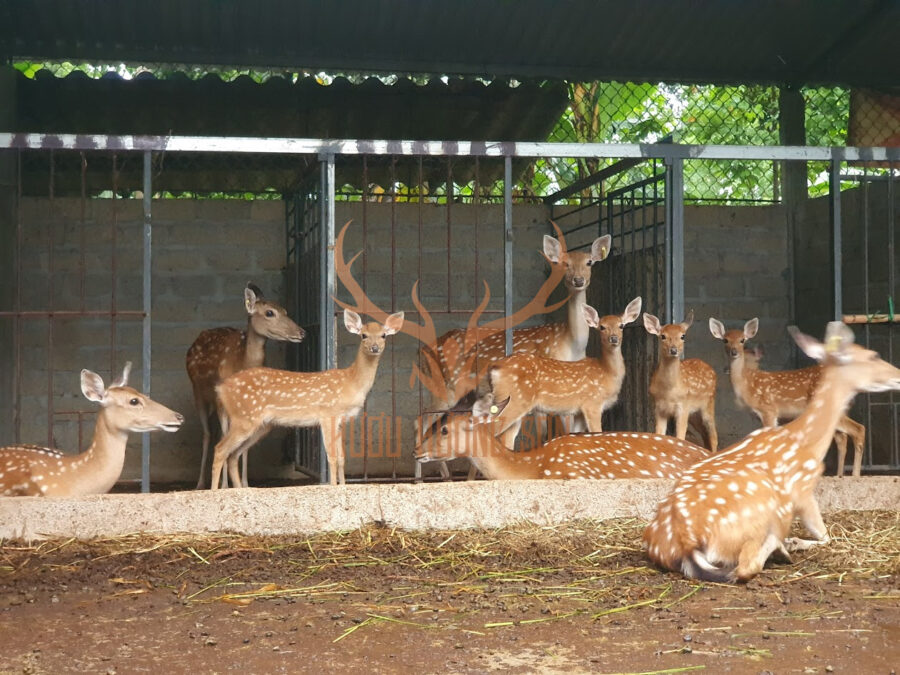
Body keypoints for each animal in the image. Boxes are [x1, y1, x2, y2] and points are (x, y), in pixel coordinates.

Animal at [186, 282, 305, 490]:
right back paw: (201, 483)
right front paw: (225, 486)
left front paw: (244, 482)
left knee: (216, 433)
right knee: (208, 434)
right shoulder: (221, 401)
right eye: (269, 312)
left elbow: (244, 448)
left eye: (285, 310)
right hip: (199, 393)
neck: (241, 362)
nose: (301, 332)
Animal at [211, 308, 404, 488]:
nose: (375, 348)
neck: (351, 381)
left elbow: (342, 458)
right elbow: (332, 457)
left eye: (383, 335)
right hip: (244, 417)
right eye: (364, 335)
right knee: (220, 449)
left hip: (261, 424)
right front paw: (333, 487)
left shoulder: (341, 420)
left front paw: (343, 486)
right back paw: (214, 491)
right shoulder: (327, 414)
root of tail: (221, 388)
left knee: (233, 455)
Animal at [487, 297, 643, 449]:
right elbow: (597, 433)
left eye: (621, 325)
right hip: (515, 400)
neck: (606, 372)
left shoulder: (579, 411)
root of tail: (495, 368)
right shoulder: (592, 402)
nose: (614, 338)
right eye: (602, 327)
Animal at [644, 310, 718, 452]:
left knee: (713, 435)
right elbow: (659, 434)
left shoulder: (683, 406)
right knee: (705, 434)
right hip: (694, 414)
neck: (669, 391)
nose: (674, 350)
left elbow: (680, 437)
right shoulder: (659, 408)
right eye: (663, 336)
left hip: (708, 404)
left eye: (683, 336)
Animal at [709, 317, 866, 477]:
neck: (749, 385)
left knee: (858, 429)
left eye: (742, 340)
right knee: (842, 437)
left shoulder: (769, 409)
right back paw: (839, 475)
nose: (734, 352)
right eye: (725, 340)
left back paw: (855, 474)